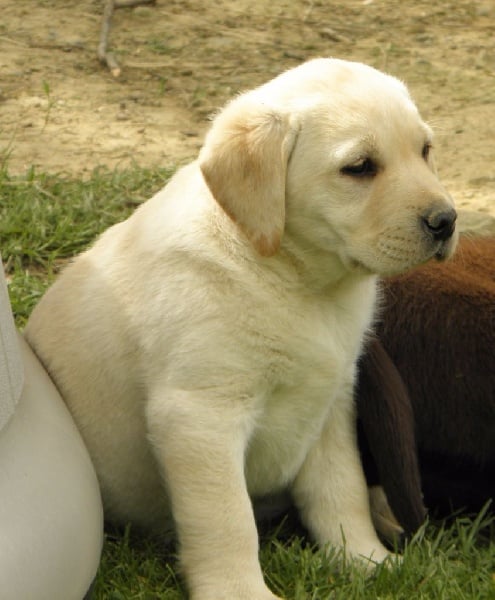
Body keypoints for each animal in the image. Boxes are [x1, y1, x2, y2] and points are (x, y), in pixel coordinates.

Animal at [24, 58, 457, 599]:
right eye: (359, 167)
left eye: (425, 150)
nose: (447, 220)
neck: (294, 277)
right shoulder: (200, 415)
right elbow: (228, 520)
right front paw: (240, 592)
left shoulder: (330, 403)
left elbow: (342, 490)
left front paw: (363, 560)